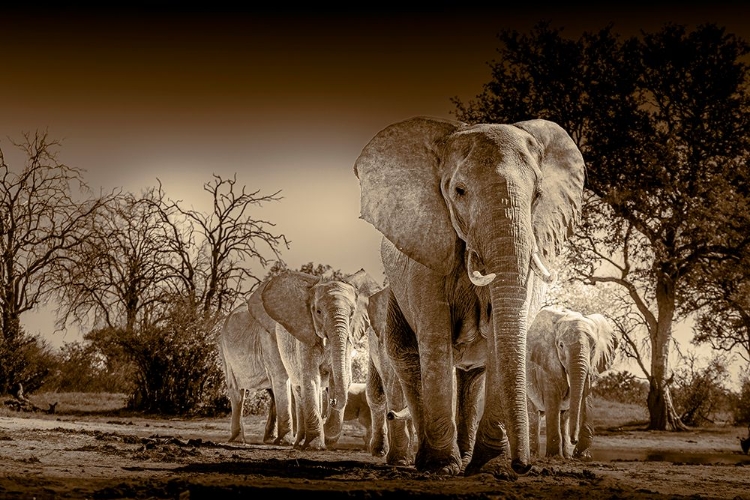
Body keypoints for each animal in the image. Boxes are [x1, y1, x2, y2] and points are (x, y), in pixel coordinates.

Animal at [217, 280, 294, 444]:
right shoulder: (269, 338)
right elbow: (282, 377)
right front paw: (287, 442)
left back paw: (269, 439)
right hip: (224, 349)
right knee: (236, 390)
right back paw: (237, 440)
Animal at [262, 268, 382, 452]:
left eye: (352, 313)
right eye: (318, 312)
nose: (331, 400)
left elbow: (343, 377)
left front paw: (328, 436)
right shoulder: (305, 335)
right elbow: (310, 379)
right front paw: (315, 445)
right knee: (299, 390)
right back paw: (299, 444)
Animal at [354, 114, 588, 476]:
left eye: (537, 195)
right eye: (459, 192)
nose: (523, 466)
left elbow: (499, 337)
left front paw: (490, 468)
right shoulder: (424, 250)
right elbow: (434, 337)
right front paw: (441, 467)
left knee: (471, 375)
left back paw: (463, 458)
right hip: (391, 294)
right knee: (406, 356)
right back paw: (422, 460)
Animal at [524, 304, 620, 458]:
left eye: (594, 347)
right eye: (561, 345)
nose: (574, 440)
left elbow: (586, 396)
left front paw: (582, 456)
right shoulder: (547, 360)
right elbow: (552, 398)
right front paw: (554, 456)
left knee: (564, 416)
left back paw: (567, 456)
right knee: (534, 415)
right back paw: (535, 455)